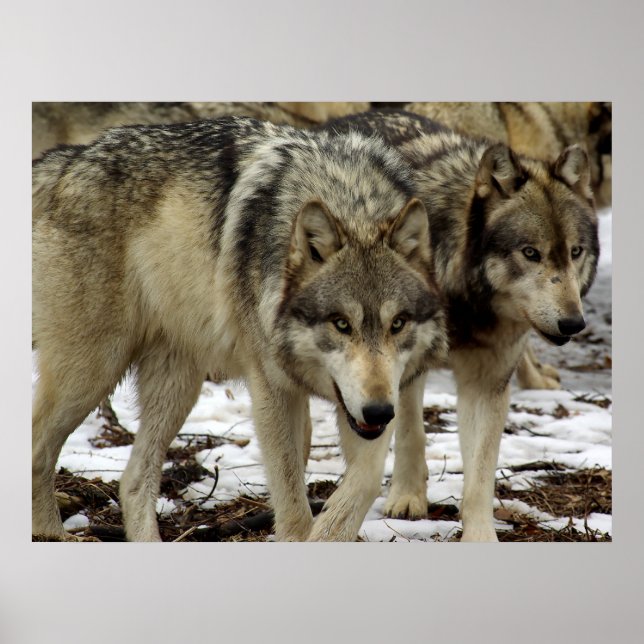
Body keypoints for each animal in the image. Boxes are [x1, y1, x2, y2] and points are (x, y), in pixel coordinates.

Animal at [32, 116, 447, 542]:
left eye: (398, 323)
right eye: (341, 324)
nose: (380, 411)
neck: (351, 198)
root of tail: (69, 160)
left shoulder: (371, 403)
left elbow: (366, 479)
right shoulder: (272, 389)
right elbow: (292, 502)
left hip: (178, 386)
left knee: (131, 481)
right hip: (91, 374)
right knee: (38, 451)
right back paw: (51, 534)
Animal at [321, 110, 599, 540]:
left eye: (575, 252)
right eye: (530, 253)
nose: (573, 323)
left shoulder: (487, 385)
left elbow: (480, 479)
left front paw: (481, 537)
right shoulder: (382, 370)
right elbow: (392, 441)